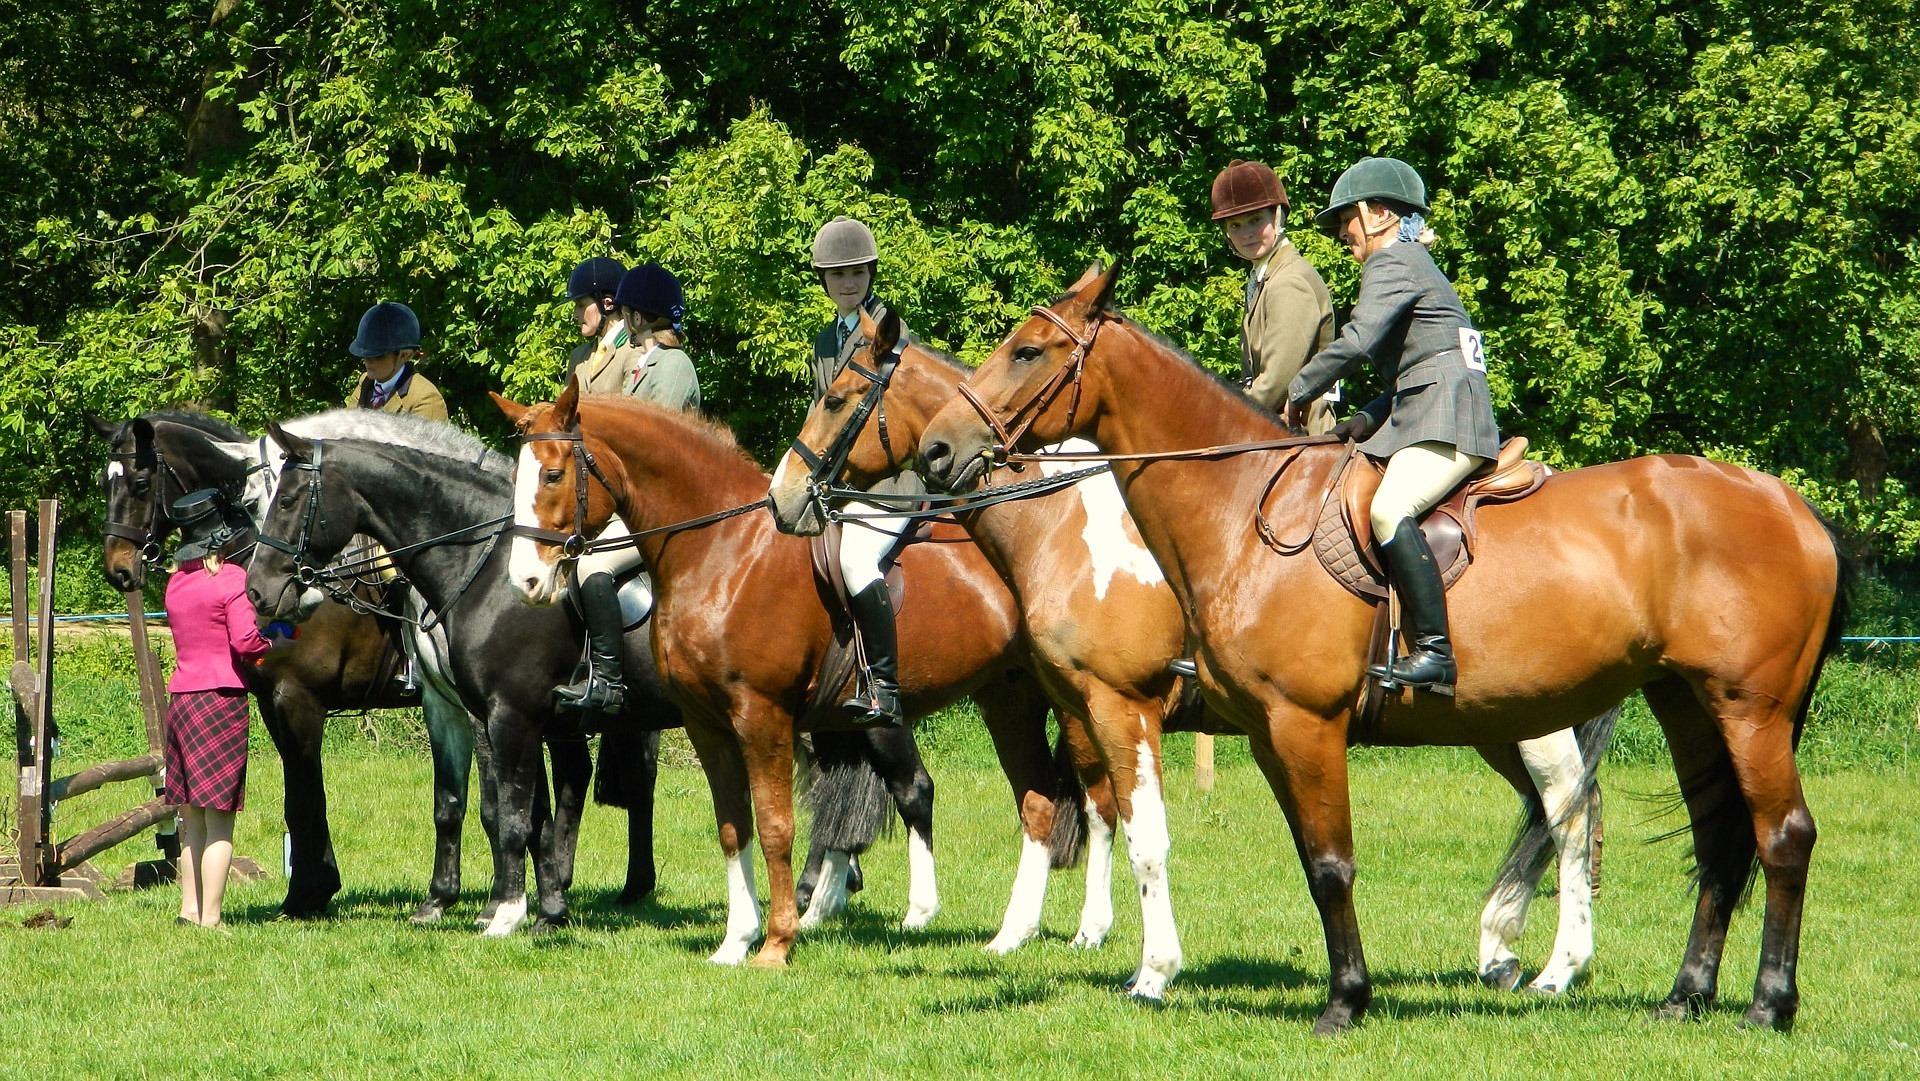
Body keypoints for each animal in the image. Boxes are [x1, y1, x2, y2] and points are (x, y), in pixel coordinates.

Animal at [495, 381, 1099, 967]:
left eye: (552, 473)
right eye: (517, 477)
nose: (526, 581)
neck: (726, 552)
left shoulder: (762, 717)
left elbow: (776, 825)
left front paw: (777, 942)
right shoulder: (705, 723)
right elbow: (733, 825)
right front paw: (736, 942)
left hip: (1071, 705)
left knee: (1097, 801)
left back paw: (1088, 931)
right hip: (1007, 697)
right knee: (1038, 802)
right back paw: (1012, 934)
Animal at [919, 264, 1848, 1034]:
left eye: (1027, 350)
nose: (936, 448)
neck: (1240, 506)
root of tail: (1790, 506)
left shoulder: (1278, 721)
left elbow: (1324, 863)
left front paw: (1334, 1001)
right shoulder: (1263, 733)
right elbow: (1304, 858)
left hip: (1745, 711)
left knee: (1773, 835)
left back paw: (1763, 1003)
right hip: (1683, 704)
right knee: (1716, 839)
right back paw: (1682, 995)